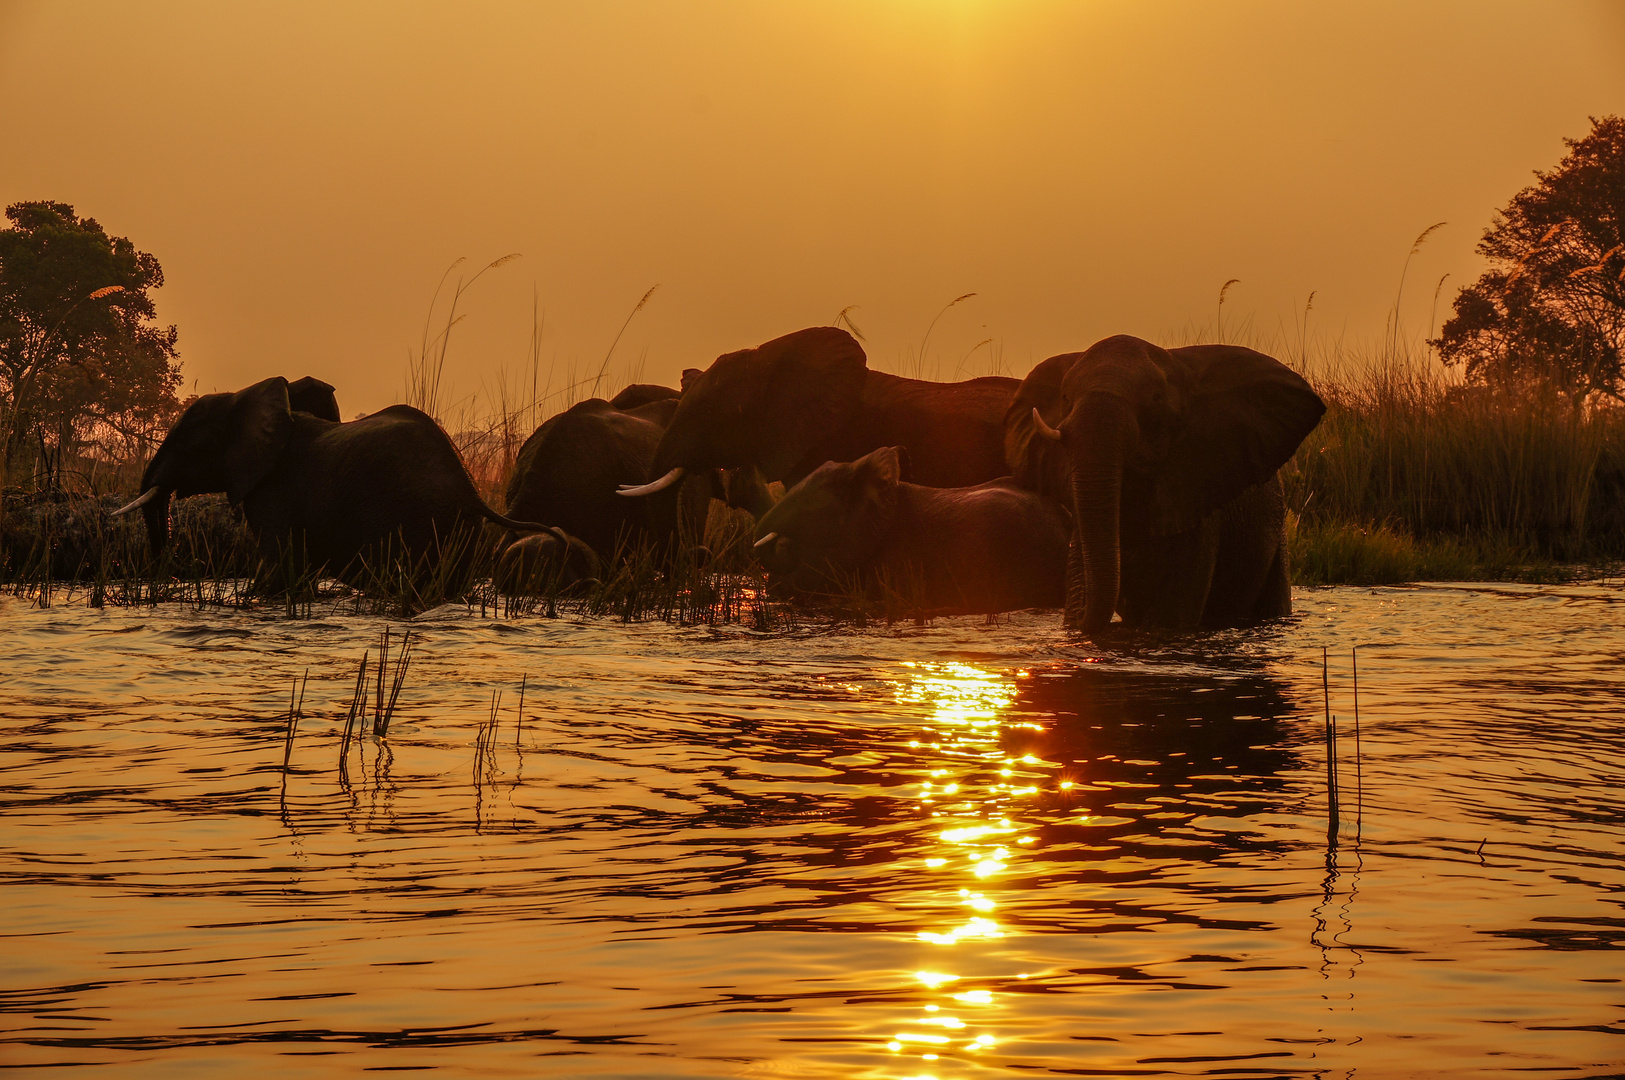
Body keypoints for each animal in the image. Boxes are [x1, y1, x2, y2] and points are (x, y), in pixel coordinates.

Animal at [114, 375, 549, 584]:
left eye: (185, 441)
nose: (176, 570)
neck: (243, 398)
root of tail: (471, 488)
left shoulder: (274, 491)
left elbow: (279, 568)